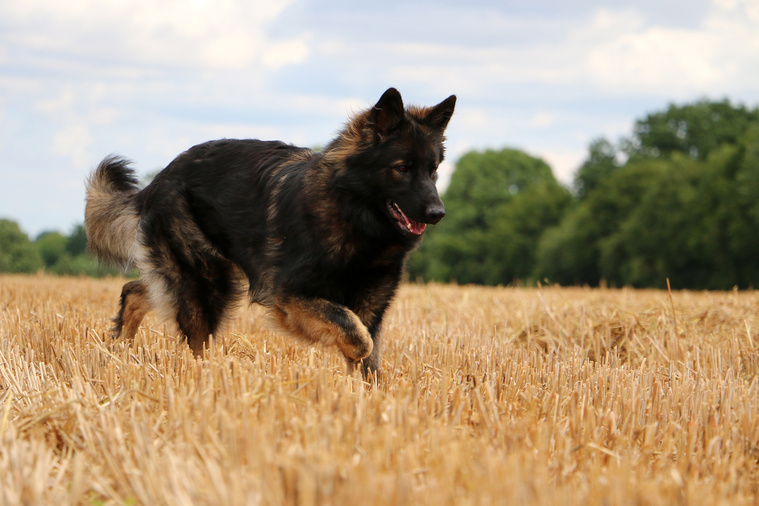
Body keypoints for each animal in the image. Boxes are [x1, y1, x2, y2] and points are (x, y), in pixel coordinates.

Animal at [89, 87, 458, 378]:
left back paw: (118, 351)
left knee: (136, 290)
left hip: (204, 275)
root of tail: (157, 180)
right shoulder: (290, 294)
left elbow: (366, 350)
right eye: (401, 168)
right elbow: (352, 330)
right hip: (207, 283)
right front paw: (355, 352)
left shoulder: (371, 304)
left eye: (433, 170)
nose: (437, 214)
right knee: (194, 338)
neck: (354, 215)